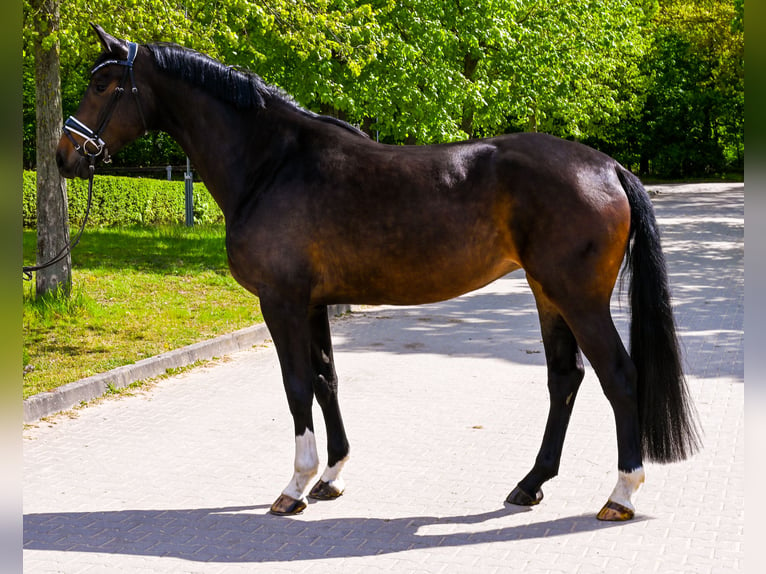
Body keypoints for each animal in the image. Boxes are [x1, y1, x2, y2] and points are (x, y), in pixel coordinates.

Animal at [57, 25, 700, 520]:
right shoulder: (313, 302)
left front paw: (295, 487)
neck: (273, 162)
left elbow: (295, 385)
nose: (64, 156)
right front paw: (331, 477)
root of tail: (608, 166)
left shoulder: (281, 301)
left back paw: (620, 495)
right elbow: (325, 379)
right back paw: (529, 484)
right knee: (564, 380)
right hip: (548, 294)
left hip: (578, 297)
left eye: (101, 84)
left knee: (620, 376)